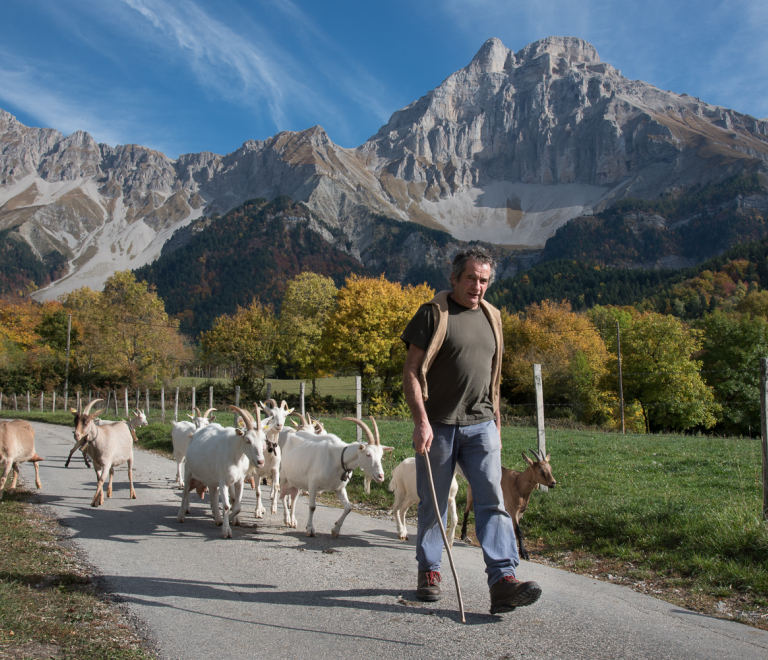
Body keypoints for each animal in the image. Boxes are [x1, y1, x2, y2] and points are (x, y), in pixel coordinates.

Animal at [179, 404, 268, 540]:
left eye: (263, 439)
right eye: (247, 440)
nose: (260, 461)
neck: (236, 456)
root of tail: (197, 433)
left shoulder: (239, 481)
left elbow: (237, 506)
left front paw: (231, 520)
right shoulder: (223, 481)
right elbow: (226, 505)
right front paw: (226, 531)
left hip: (212, 478)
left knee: (214, 495)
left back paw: (218, 519)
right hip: (189, 469)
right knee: (185, 492)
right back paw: (181, 516)